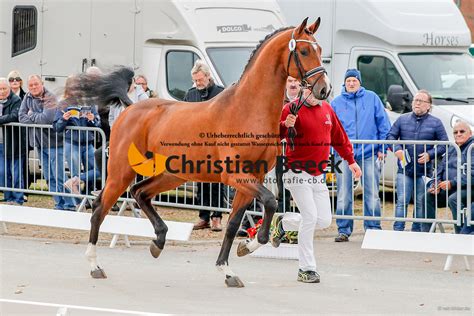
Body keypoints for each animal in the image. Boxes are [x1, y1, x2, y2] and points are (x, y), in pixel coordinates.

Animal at [84, 18, 330, 288]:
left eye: (319, 50)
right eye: (304, 51)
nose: (324, 89)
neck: (246, 110)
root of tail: (130, 108)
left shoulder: (250, 180)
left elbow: (233, 223)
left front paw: (230, 267)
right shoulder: (235, 177)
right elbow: (270, 201)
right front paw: (253, 244)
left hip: (173, 175)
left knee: (140, 192)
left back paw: (158, 241)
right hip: (121, 172)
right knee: (100, 208)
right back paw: (95, 265)